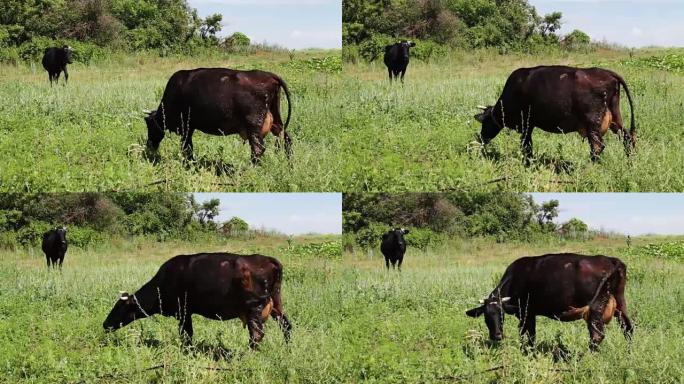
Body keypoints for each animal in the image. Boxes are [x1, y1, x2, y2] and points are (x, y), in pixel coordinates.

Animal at [103, 254, 292, 350]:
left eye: (119, 307)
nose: (105, 324)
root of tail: (267, 259)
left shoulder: (184, 311)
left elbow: (186, 334)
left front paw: (187, 351)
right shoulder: (186, 313)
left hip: (254, 307)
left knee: (257, 335)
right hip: (276, 305)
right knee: (286, 325)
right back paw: (288, 349)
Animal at [144, 68, 292, 164]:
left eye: (149, 126)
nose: (149, 146)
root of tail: (269, 75)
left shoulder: (186, 126)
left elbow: (186, 146)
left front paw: (188, 163)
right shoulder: (190, 127)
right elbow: (188, 146)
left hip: (253, 124)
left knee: (258, 148)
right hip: (275, 120)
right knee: (286, 138)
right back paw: (289, 164)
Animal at [468, 254, 632, 350]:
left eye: (501, 315)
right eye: (486, 316)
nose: (497, 336)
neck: (515, 278)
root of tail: (611, 260)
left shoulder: (526, 313)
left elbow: (526, 335)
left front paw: (527, 353)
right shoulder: (530, 313)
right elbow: (530, 335)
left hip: (595, 308)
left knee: (597, 336)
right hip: (620, 302)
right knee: (628, 327)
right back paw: (629, 353)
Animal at [476, 66, 636, 162]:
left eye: (485, 123)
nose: (480, 138)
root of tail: (607, 73)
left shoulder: (526, 124)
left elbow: (526, 145)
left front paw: (527, 163)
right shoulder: (530, 125)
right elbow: (528, 145)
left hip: (592, 123)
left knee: (597, 146)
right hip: (614, 119)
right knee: (627, 137)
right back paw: (630, 161)